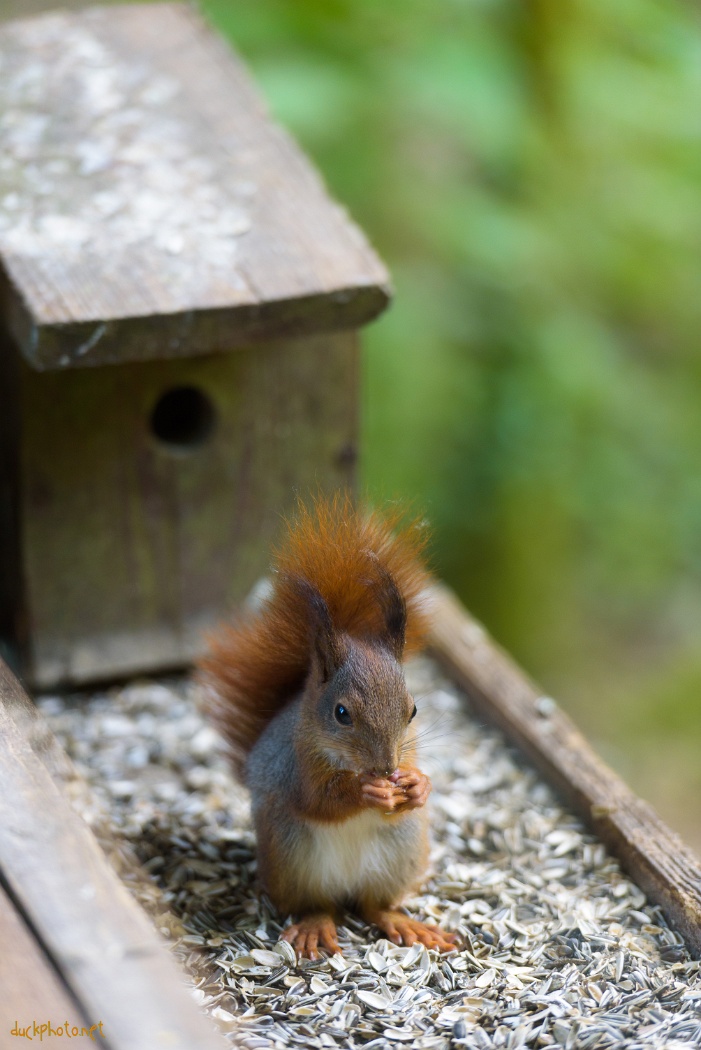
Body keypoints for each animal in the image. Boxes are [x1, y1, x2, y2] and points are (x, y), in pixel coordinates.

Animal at [199, 491, 457, 961]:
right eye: (341, 714)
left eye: (413, 710)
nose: (386, 768)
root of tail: (344, 892)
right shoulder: (297, 765)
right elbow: (319, 800)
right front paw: (366, 791)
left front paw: (417, 785)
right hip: (292, 858)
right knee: (317, 905)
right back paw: (314, 926)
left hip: (400, 851)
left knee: (374, 907)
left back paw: (405, 924)